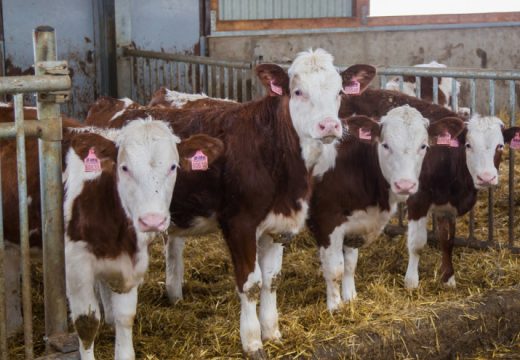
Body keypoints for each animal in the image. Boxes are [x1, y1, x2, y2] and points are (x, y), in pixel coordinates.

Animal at [88, 49, 350, 356]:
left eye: (340, 91)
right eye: (298, 91)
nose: (329, 125)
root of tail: (111, 103)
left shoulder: (278, 225)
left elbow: (272, 280)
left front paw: (272, 332)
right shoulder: (239, 223)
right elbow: (251, 283)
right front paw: (252, 342)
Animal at [306, 106, 466, 310]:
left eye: (423, 146)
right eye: (385, 145)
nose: (405, 185)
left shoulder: (356, 221)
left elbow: (350, 264)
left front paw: (350, 297)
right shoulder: (326, 219)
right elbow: (334, 268)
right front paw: (335, 307)